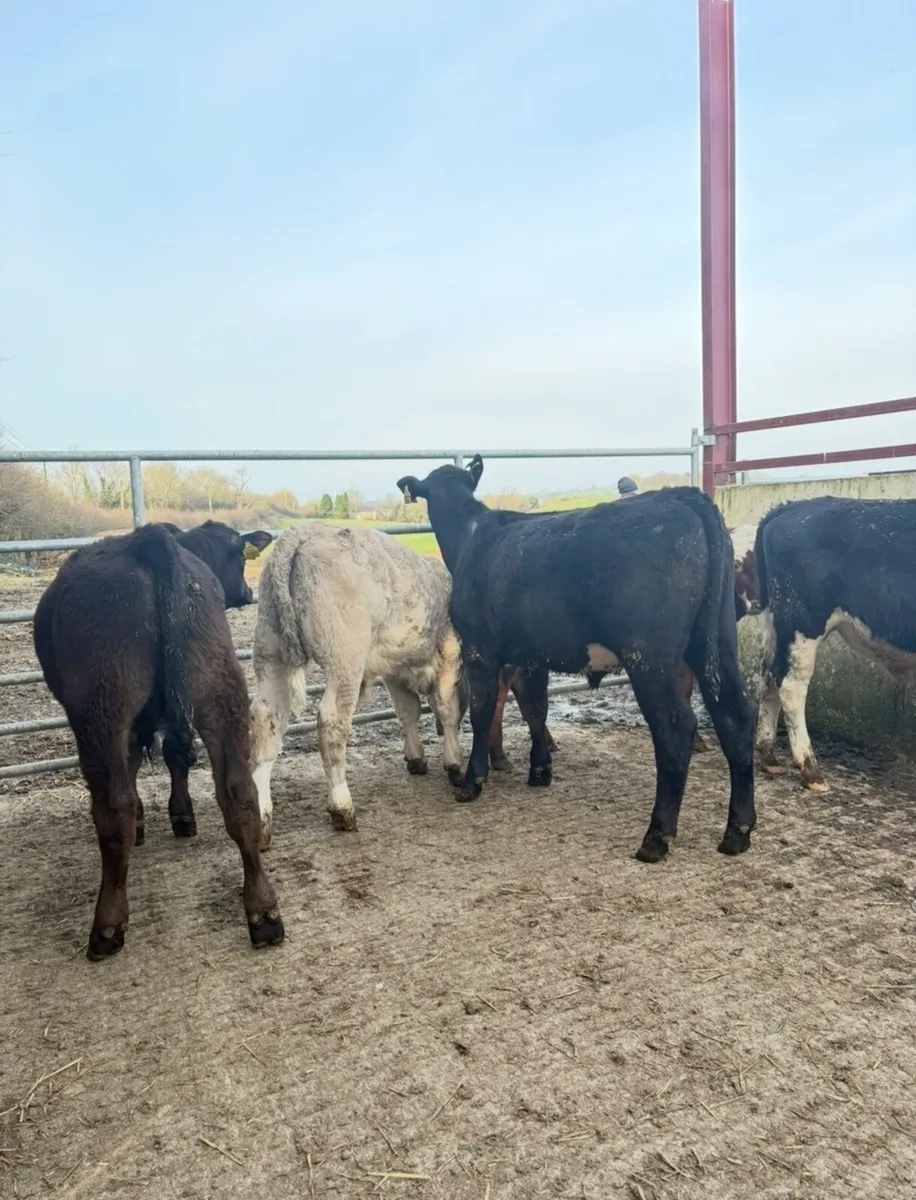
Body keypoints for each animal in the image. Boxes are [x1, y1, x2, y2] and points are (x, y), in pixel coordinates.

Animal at [33, 524, 284, 959]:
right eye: (240, 560)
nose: (246, 592)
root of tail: (148, 540)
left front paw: (156, 819)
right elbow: (172, 757)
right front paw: (177, 816)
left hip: (102, 708)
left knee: (111, 810)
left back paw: (107, 925)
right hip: (219, 690)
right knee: (239, 795)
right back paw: (264, 913)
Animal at [250, 523, 470, 845]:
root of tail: (301, 532)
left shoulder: (394, 669)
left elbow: (407, 711)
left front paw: (416, 757)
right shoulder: (450, 654)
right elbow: (446, 709)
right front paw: (455, 762)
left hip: (271, 654)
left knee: (266, 720)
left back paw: (261, 818)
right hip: (345, 660)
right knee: (332, 724)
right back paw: (342, 806)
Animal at [395, 456, 757, 862]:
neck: (472, 538)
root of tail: (684, 497)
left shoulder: (479, 651)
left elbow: (482, 711)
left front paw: (473, 780)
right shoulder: (532, 655)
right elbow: (535, 708)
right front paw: (540, 770)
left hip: (649, 658)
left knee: (676, 728)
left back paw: (656, 836)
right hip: (717, 643)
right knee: (736, 716)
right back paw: (737, 831)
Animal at [753, 496, 916, 791]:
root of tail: (790, 507)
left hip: (776, 625)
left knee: (769, 676)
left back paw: (769, 756)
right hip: (804, 623)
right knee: (791, 685)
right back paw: (810, 769)